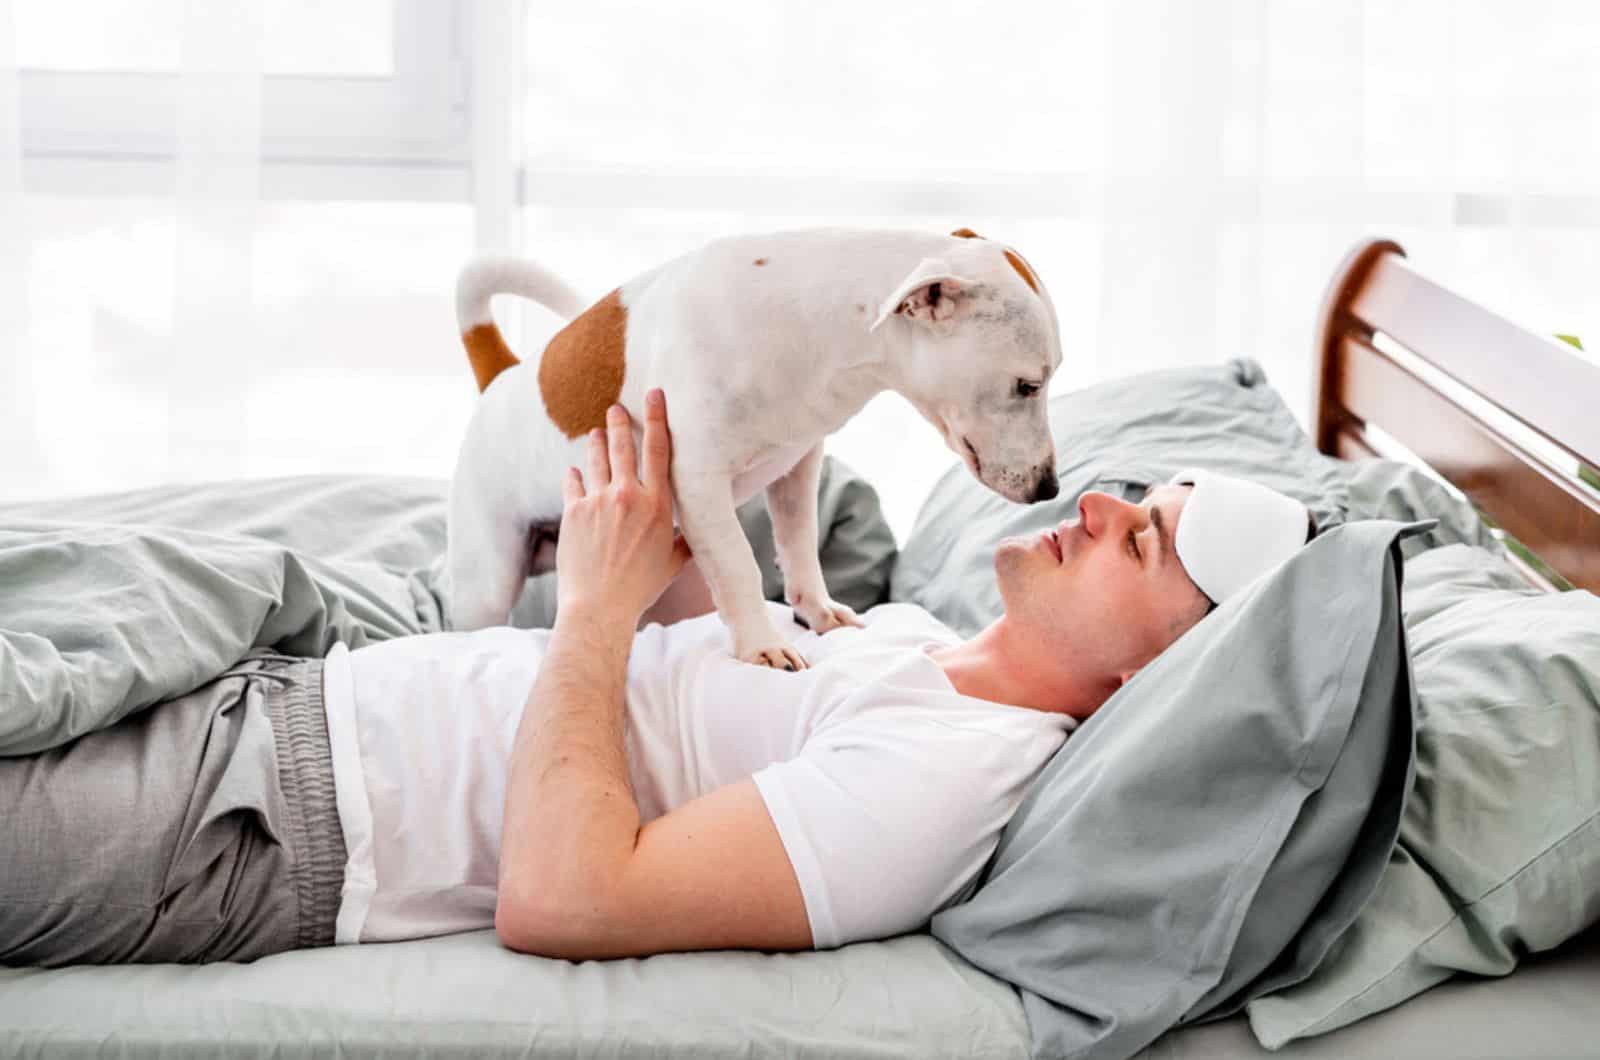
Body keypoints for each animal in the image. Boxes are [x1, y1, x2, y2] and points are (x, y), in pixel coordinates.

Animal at [448, 228, 1062, 672]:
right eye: (1028, 385)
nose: (1050, 487)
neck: (808, 324)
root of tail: (501, 377)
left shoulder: (799, 465)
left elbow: (799, 546)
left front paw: (816, 611)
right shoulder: (698, 481)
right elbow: (739, 564)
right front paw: (760, 644)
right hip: (489, 581)